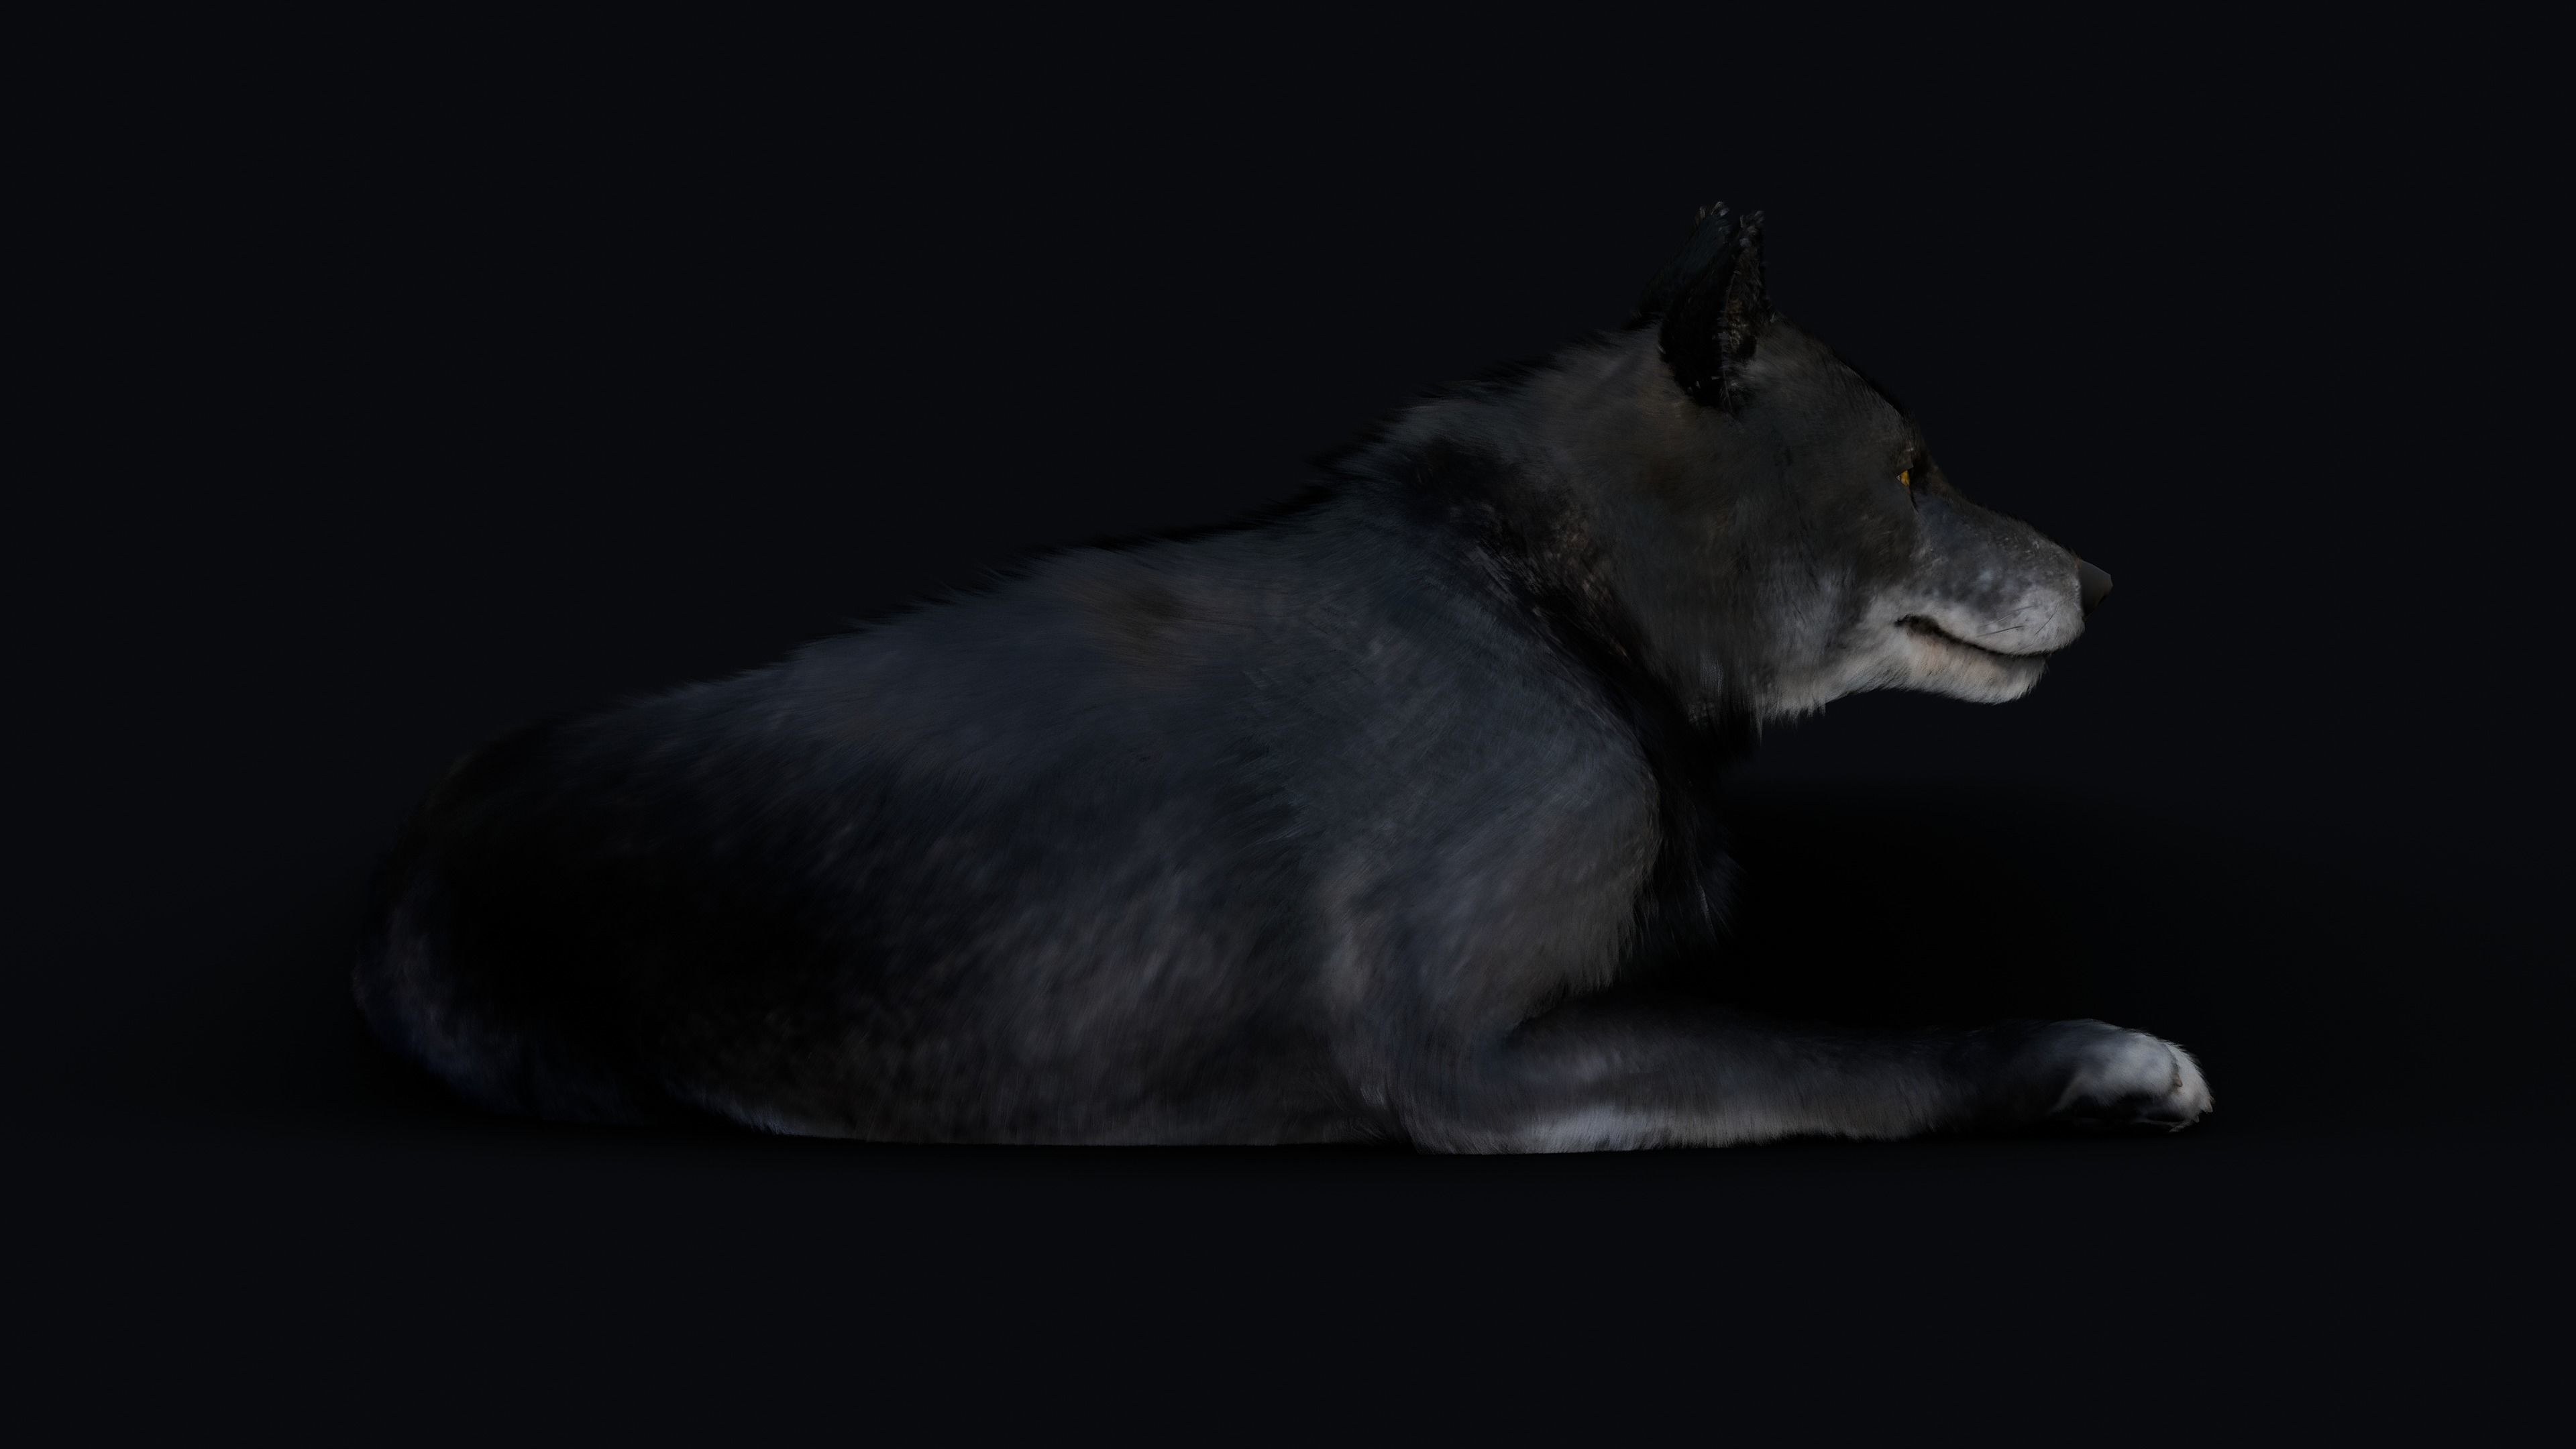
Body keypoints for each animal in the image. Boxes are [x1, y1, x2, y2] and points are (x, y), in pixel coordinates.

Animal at [355, 203, 2210, 1150]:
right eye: (1909, 470)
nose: (2110, 583)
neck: (1544, 597)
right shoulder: (1464, 1049)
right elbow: (1848, 1061)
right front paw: (2105, 1057)